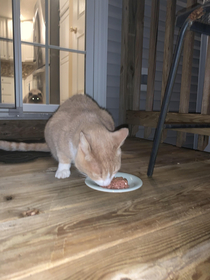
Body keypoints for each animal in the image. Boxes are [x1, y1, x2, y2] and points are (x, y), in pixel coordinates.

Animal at [0, 94, 128, 186]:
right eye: (99, 174)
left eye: (115, 171)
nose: (107, 184)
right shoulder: (58, 133)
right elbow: (63, 155)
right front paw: (63, 170)